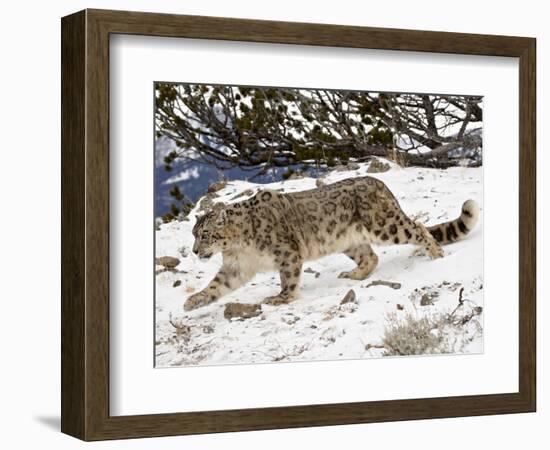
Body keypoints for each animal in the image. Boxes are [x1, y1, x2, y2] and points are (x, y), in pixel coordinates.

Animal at [184, 175, 478, 310]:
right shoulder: (236, 266)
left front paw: (281, 298)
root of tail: (379, 182)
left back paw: (436, 254)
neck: (238, 247)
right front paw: (194, 301)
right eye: (194, 234)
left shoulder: (286, 254)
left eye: (205, 234)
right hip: (350, 241)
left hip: (385, 226)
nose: (196, 250)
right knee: (371, 257)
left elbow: (288, 279)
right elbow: (217, 284)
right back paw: (353, 274)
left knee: (417, 227)